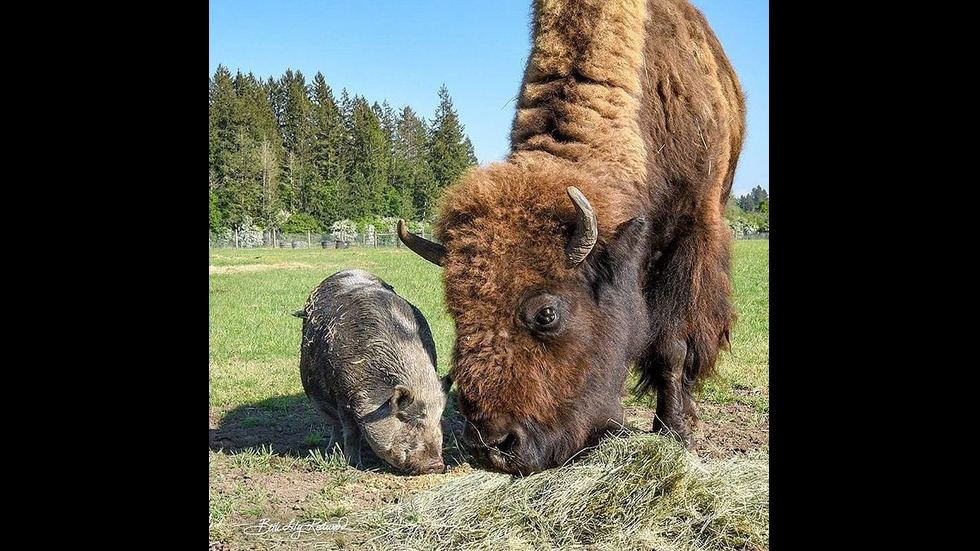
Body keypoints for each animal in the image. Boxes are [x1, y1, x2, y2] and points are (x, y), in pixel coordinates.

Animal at [296, 270, 446, 474]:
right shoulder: (343, 396)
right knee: (335, 426)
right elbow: (351, 432)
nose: (437, 465)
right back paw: (330, 451)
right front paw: (354, 465)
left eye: (439, 419)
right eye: (408, 419)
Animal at [398, 0, 744, 474]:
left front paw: (676, 435)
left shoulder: (691, 235)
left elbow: (673, 347)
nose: (493, 446)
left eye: (547, 314)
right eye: (456, 312)